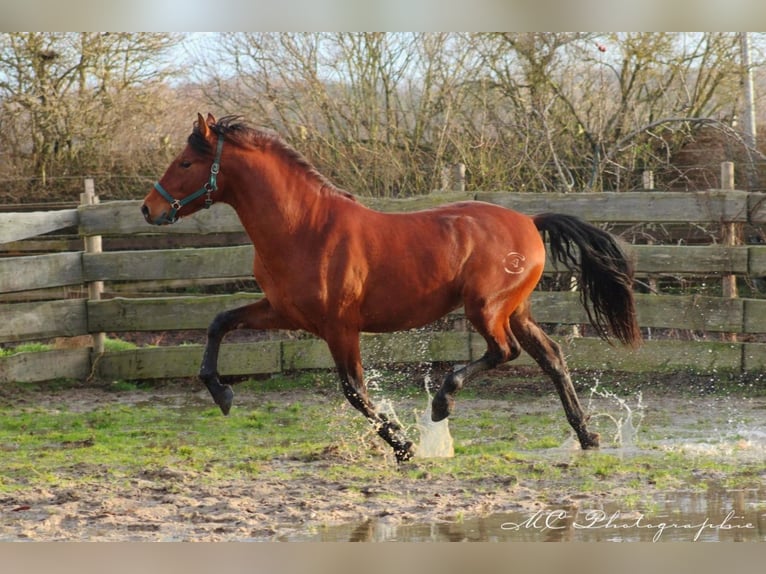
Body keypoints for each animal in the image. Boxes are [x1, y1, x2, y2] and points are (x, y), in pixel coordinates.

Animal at [142, 115, 640, 466]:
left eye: (186, 162)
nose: (149, 209)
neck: (304, 228)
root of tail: (530, 222)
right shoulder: (284, 312)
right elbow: (219, 322)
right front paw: (221, 394)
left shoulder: (340, 327)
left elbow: (354, 391)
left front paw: (403, 445)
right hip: (514, 310)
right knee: (551, 356)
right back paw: (587, 436)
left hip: (486, 308)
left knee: (505, 352)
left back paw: (442, 403)